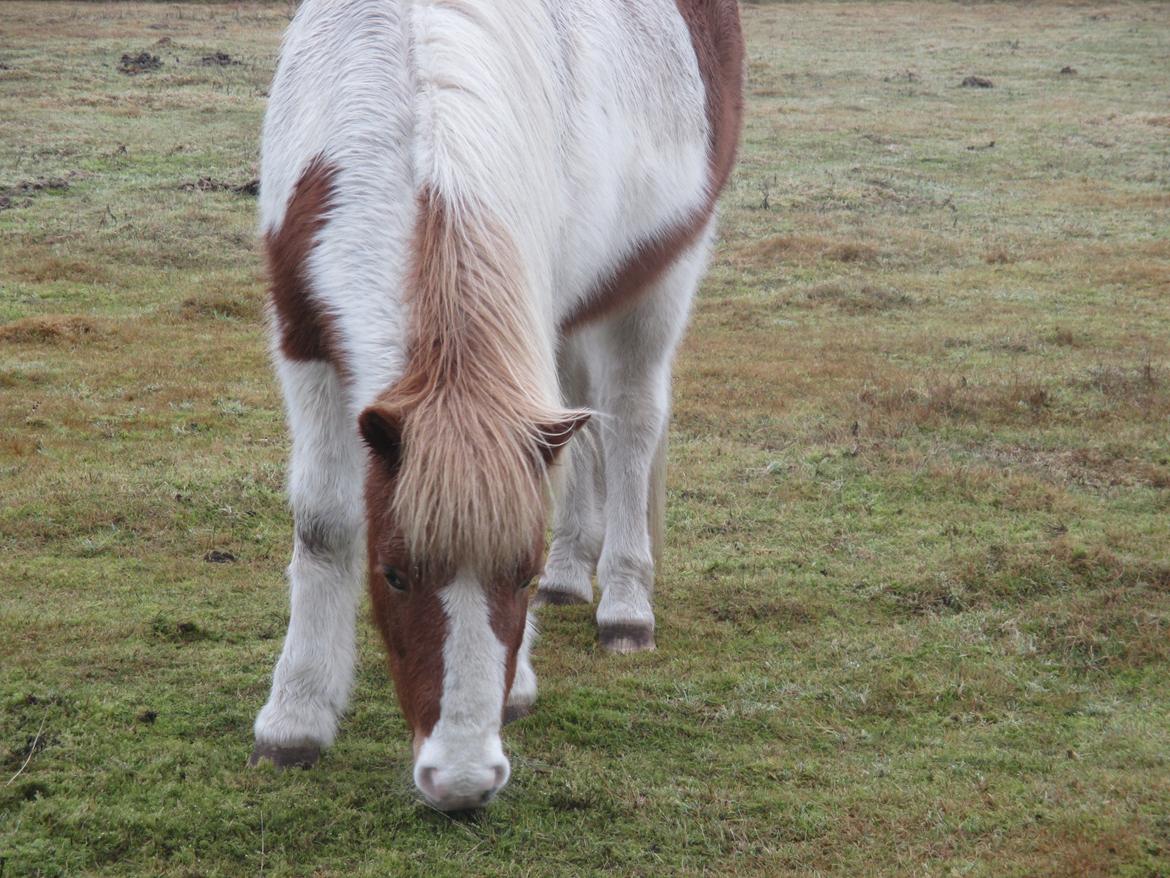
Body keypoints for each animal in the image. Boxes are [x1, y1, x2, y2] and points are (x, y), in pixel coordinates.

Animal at [249, 0, 739, 810]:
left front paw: (524, 676)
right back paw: (577, 575)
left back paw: (624, 605)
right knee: (584, 425)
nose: (462, 782)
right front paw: (295, 719)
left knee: (632, 423)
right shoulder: (303, 337)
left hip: (662, 274)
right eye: (394, 574)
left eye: (520, 574)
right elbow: (322, 523)